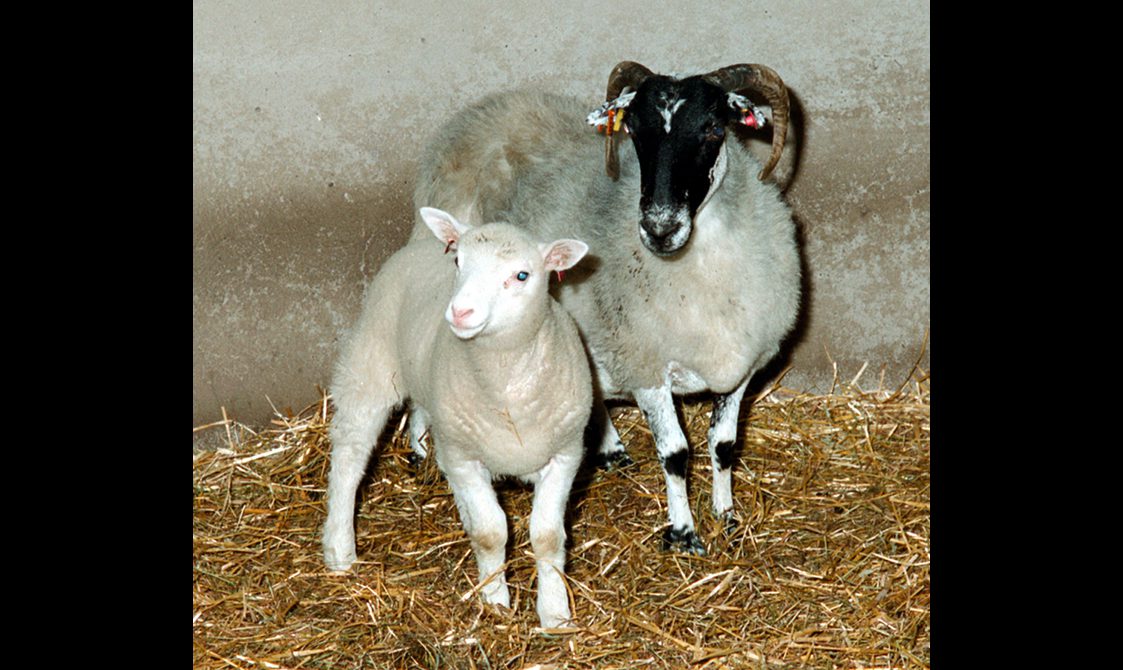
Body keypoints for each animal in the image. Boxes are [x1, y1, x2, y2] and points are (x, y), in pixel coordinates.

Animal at [322, 206, 592, 628]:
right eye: (459, 262)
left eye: (522, 275)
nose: (460, 311)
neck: (506, 387)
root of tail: (420, 245)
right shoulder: (464, 457)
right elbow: (490, 533)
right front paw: (495, 602)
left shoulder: (565, 454)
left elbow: (548, 537)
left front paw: (555, 614)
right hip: (371, 363)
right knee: (350, 456)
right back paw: (340, 549)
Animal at [410, 62, 801, 556]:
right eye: (633, 129)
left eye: (714, 128)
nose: (658, 228)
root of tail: (483, 110)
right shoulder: (645, 365)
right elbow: (676, 454)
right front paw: (684, 533)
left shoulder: (741, 367)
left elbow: (724, 445)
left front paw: (727, 517)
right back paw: (419, 449)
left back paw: (610, 447)